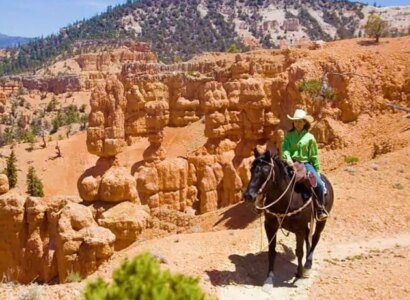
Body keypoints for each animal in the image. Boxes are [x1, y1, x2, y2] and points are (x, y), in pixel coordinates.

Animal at [243, 150, 334, 286]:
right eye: (251, 169)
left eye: (266, 170)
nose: (248, 195)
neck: (286, 199)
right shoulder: (270, 225)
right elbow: (272, 250)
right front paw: (269, 276)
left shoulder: (299, 229)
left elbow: (299, 251)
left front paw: (299, 274)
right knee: (308, 238)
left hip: (321, 220)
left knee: (315, 238)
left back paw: (307, 265)